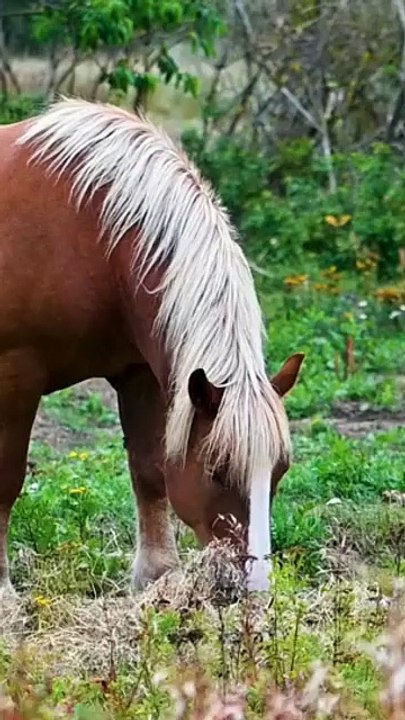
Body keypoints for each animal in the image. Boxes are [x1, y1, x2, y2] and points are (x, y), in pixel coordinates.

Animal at [0, 98, 304, 598]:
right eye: (218, 471)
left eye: (278, 472)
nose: (256, 586)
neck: (88, 229)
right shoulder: (16, 375)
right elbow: (7, 479)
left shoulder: (139, 373)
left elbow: (150, 471)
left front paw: (157, 575)